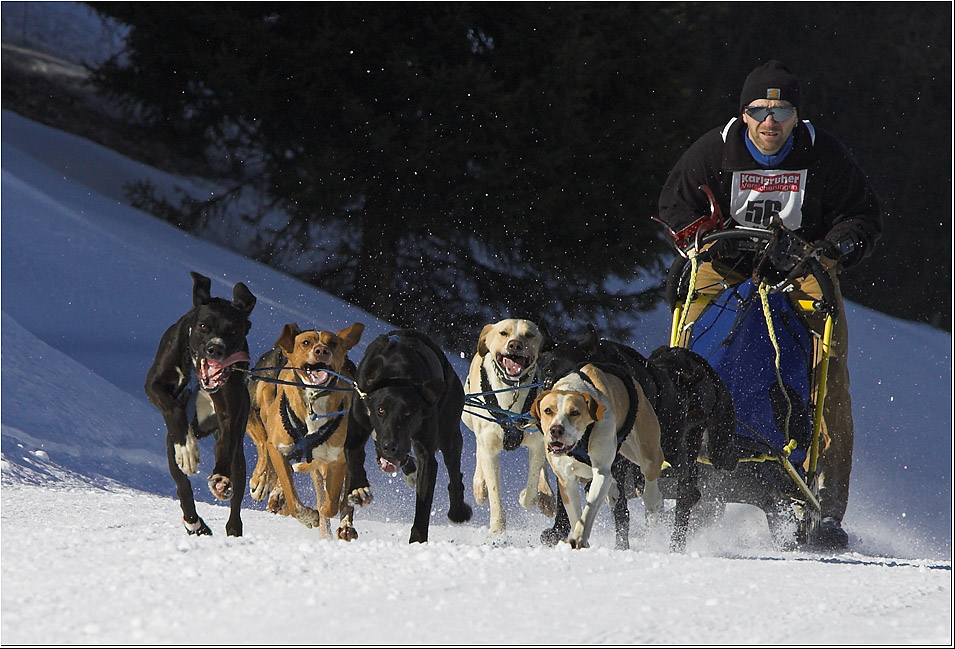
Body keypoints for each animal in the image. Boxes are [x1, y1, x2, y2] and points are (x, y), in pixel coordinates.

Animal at [144, 270, 256, 536]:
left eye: (234, 331)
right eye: (204, 326)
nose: (216, 348)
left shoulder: (230, 414)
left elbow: (226, 440)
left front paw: (220, 479)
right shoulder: (154, 385)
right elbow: (173, 407)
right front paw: (187, 449)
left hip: (239, 458)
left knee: (235, 496)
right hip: (169, 447)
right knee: (182, 485)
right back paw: (194, 523)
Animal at [245, 322, 364, 540]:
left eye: (333, 343)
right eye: (305, 342)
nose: (321, 350)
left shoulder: (337, 459)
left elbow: (331, 503)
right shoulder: (274, 443)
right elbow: (291, 494)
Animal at [348, 330, 474, 540]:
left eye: (408, 413)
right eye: (380, 410)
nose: (390, 446)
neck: (397, 375)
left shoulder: (426, 454)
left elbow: (423, 503)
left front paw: (417, 540)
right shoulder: (358, 424)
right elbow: (352, 453)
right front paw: (358, 488)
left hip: (449, 435)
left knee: (455, 473)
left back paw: (458, 511)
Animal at [462, 316, 552, 536]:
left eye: (529, 334)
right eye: (503, 333)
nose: (515, 345)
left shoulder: (537, 443)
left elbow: (531, 491)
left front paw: (531, 495)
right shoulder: (489, 447)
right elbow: (494, 491)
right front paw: (497, 527)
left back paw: (547, 495)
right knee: (479, 448)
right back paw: (479, 485)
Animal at [532, 362, 664, 548]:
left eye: (575, 412)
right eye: (548, 410)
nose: (556, 429)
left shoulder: (600, 470)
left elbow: (590, 507)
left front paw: (579, 537)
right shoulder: (566, 480)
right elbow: (575, 514)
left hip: (645, 446)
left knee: (651, 469)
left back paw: (652, 500)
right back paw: (612, 491)